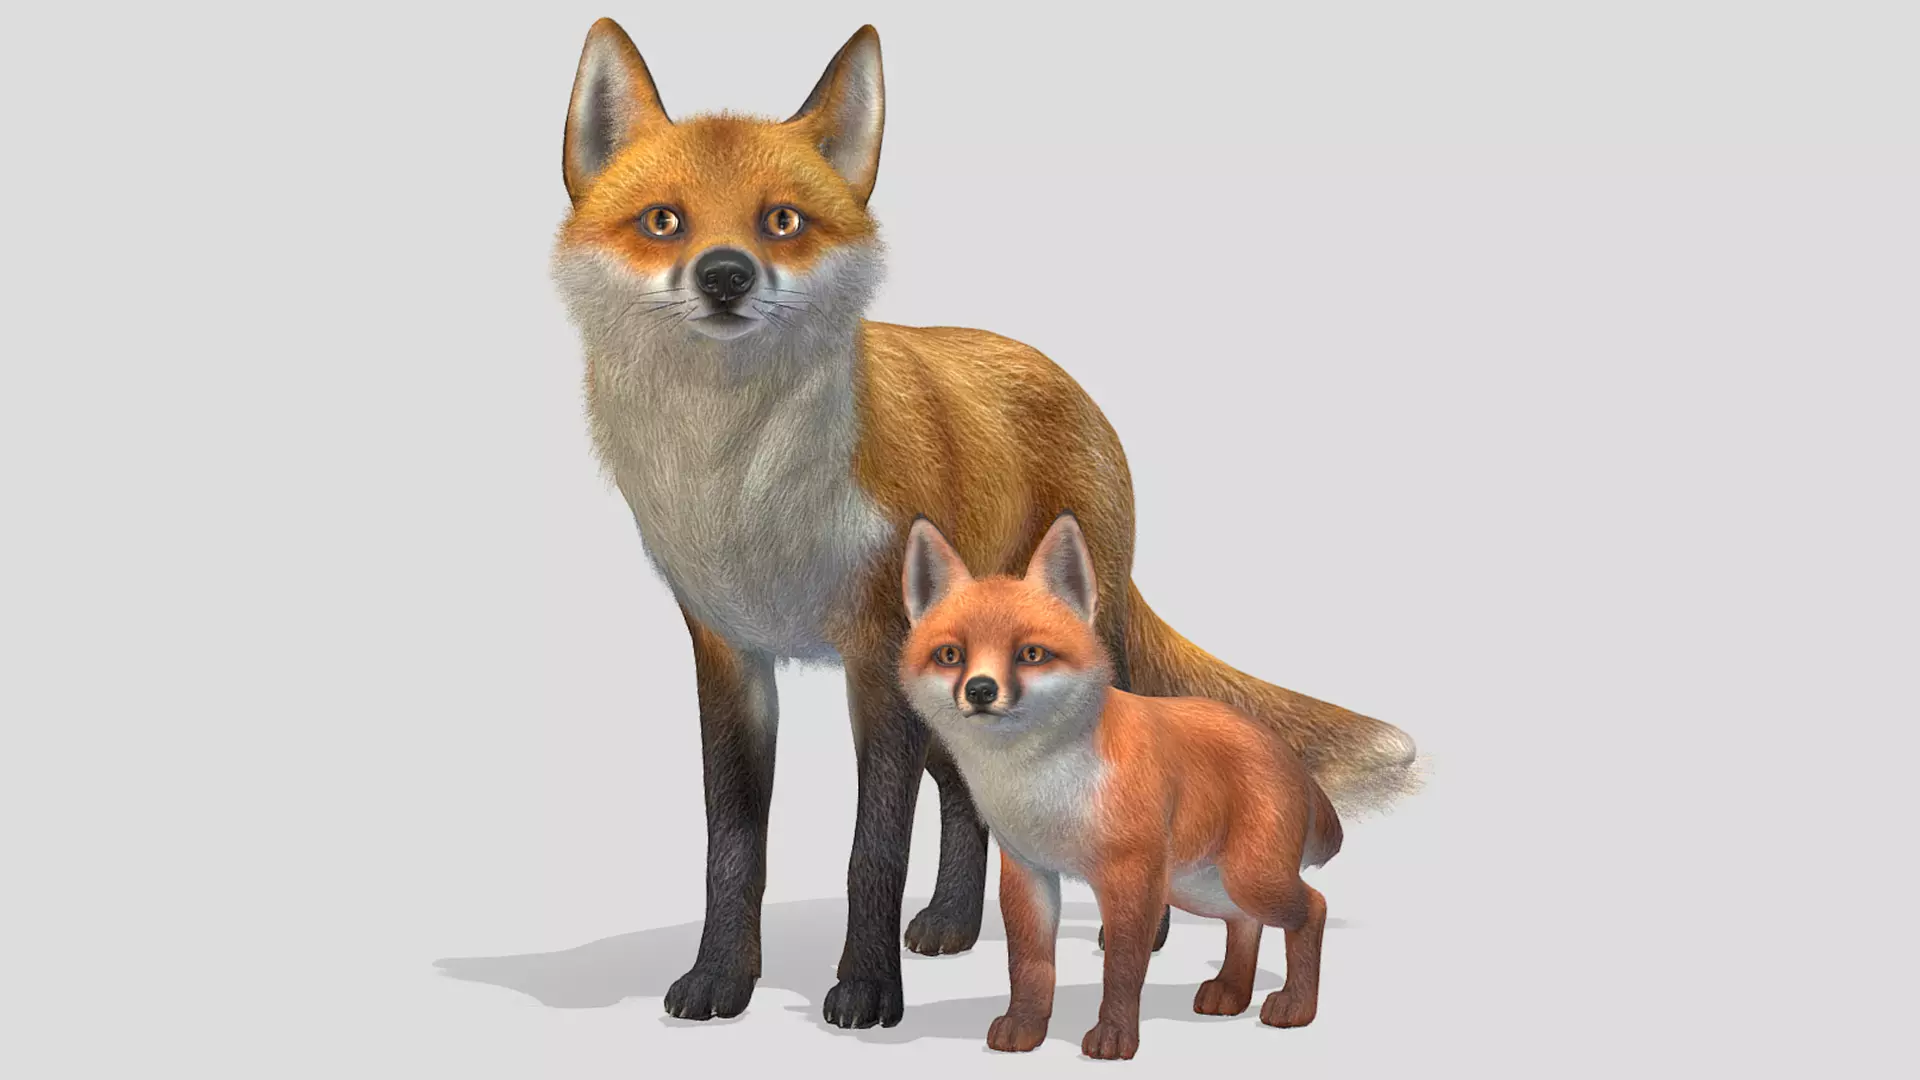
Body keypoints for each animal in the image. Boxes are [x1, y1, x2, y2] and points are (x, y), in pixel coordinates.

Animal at [898, 512, 1344, 1059]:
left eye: (1030, 653)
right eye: (950, 654)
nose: (980, 690)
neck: (1044, 788)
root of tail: (1280, 747)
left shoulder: (1132, 877)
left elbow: (1123, 969)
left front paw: (1114, 1037)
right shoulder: (1028, 871)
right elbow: (1029, 966)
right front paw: (1025, 1027)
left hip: (1249, 879)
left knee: (1313, 908)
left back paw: (1296, 1005)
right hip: (1202, 887)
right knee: (1245, 923)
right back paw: (1232, 992)